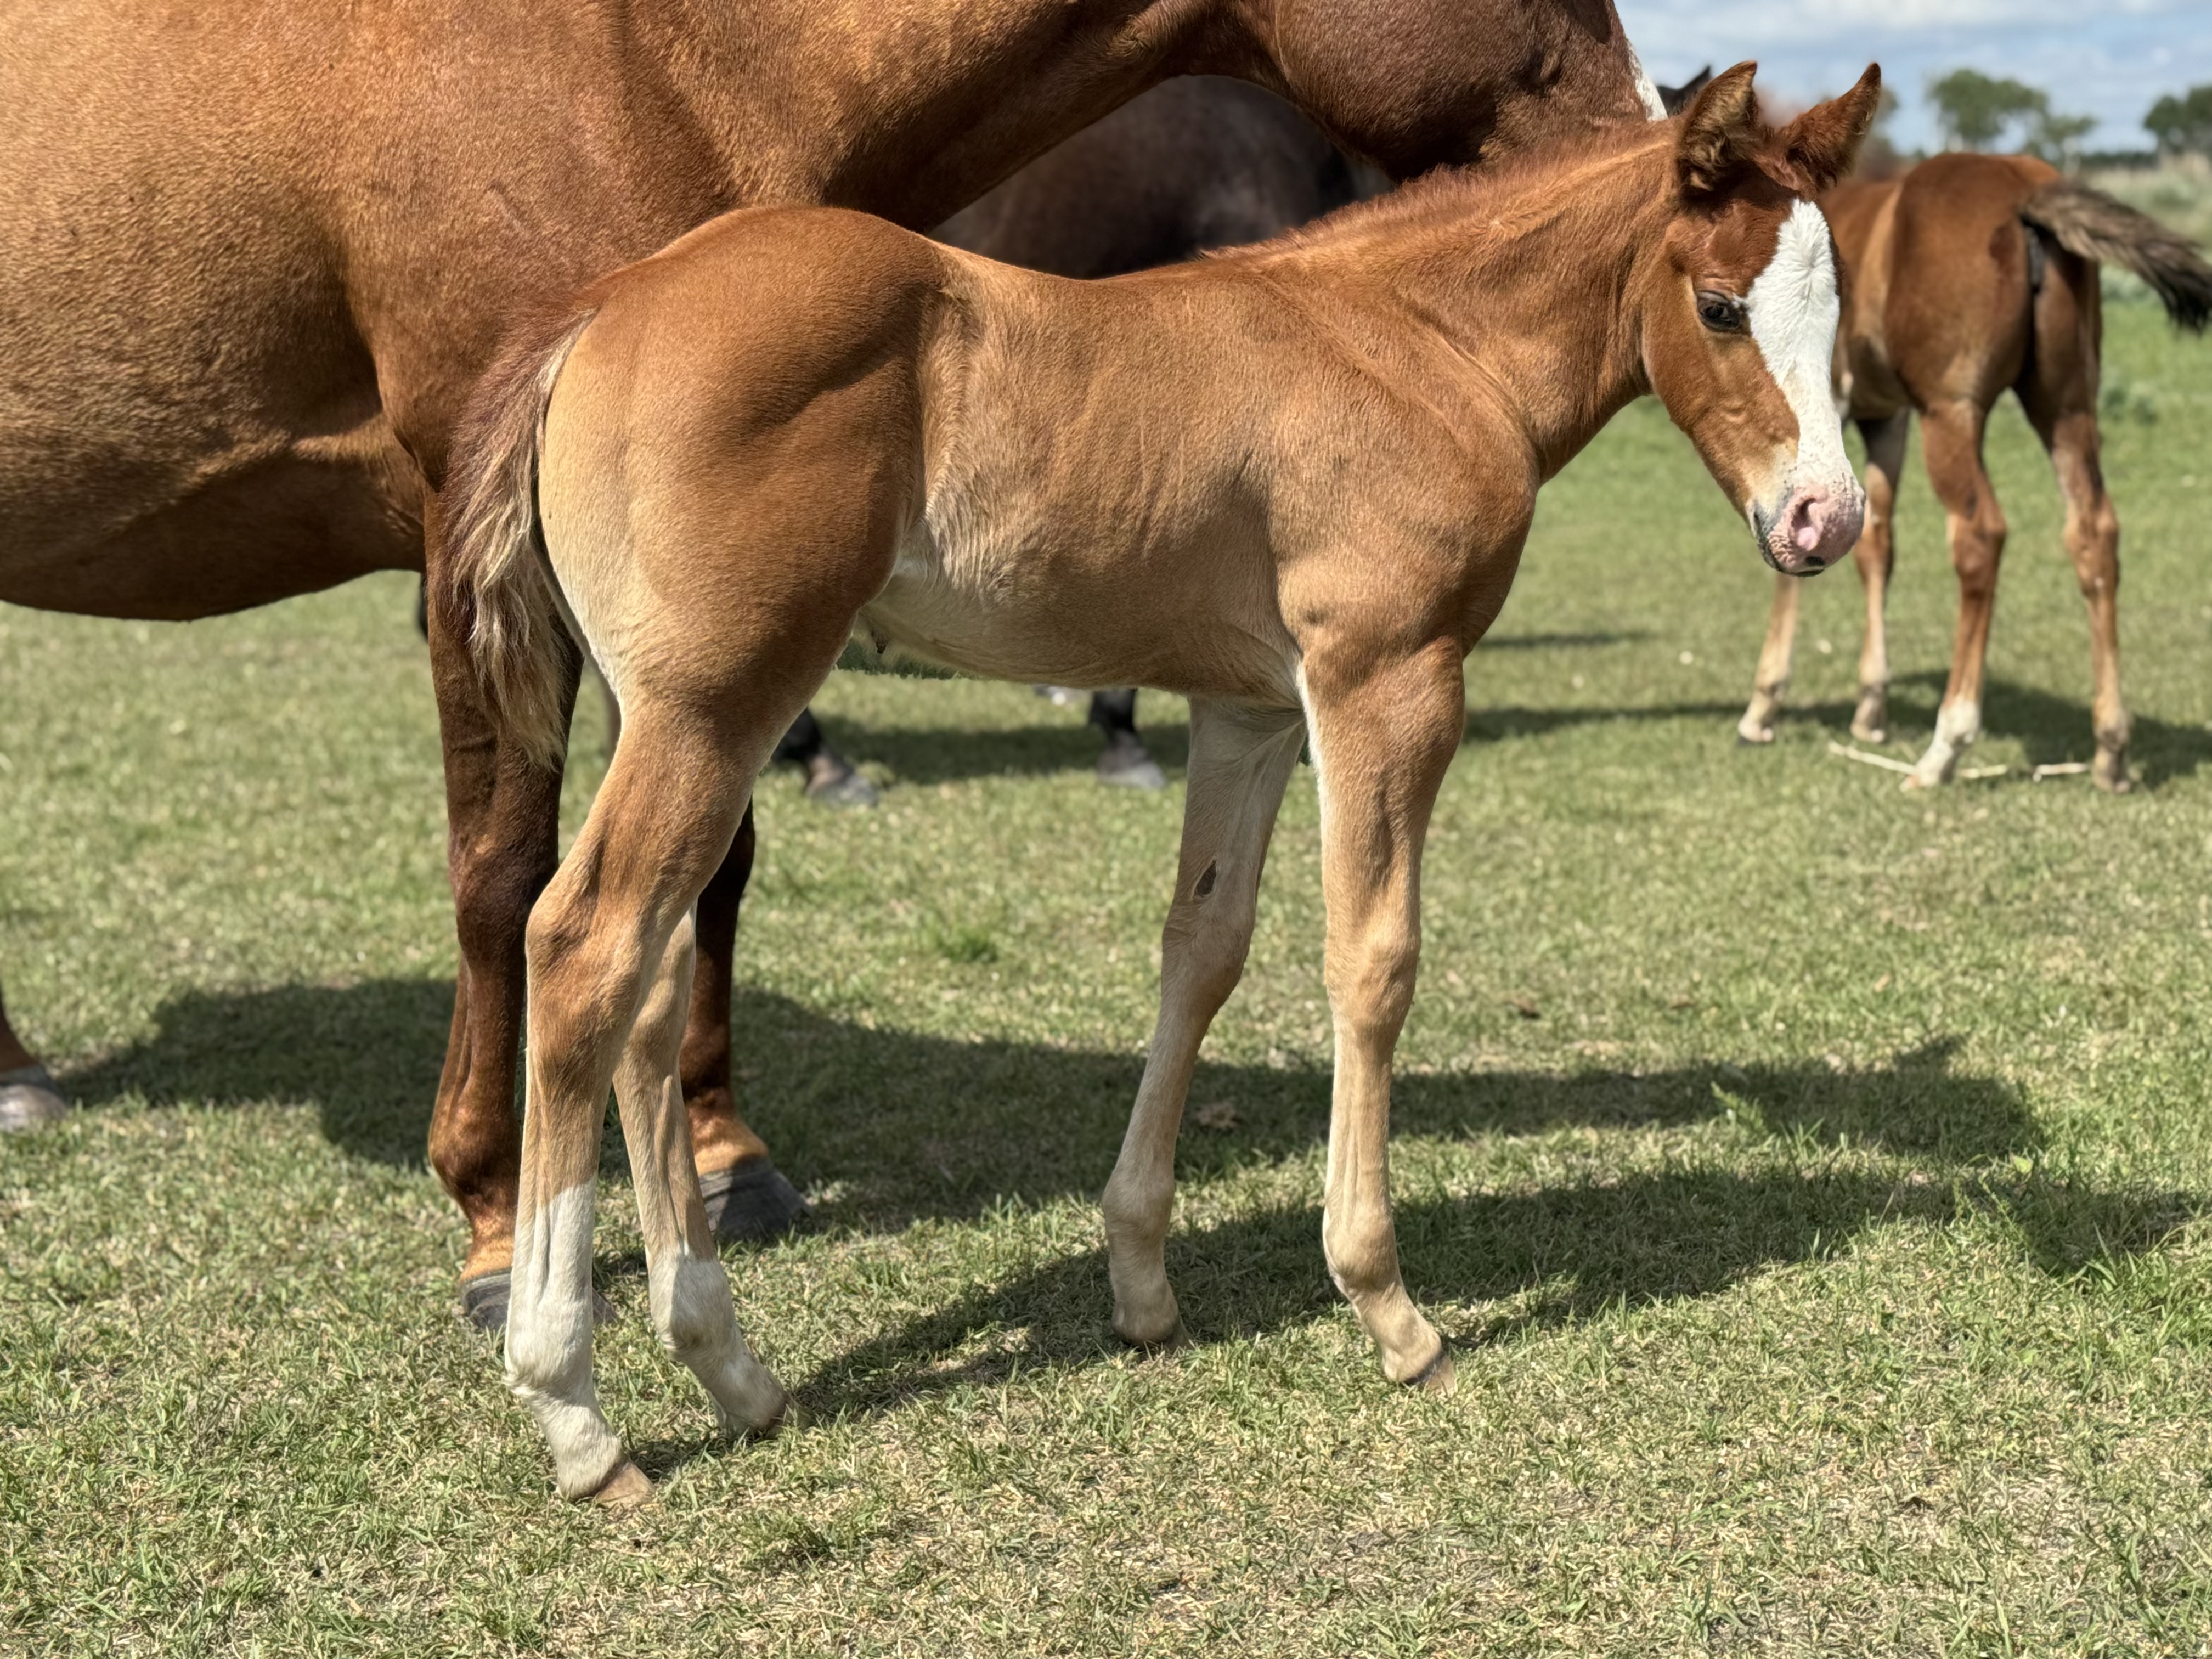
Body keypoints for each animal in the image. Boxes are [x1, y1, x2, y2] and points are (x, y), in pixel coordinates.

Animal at [1734, 153, 2212, 789]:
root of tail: (2024, 192)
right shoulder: (1885, 419)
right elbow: (1876, 546)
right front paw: (1870, 706)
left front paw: (1764, 705)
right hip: (2067, 407)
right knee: (2095, 532)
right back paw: (2111, 748)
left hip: (1953, 415)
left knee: (1980, 537)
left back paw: (1945, 745)